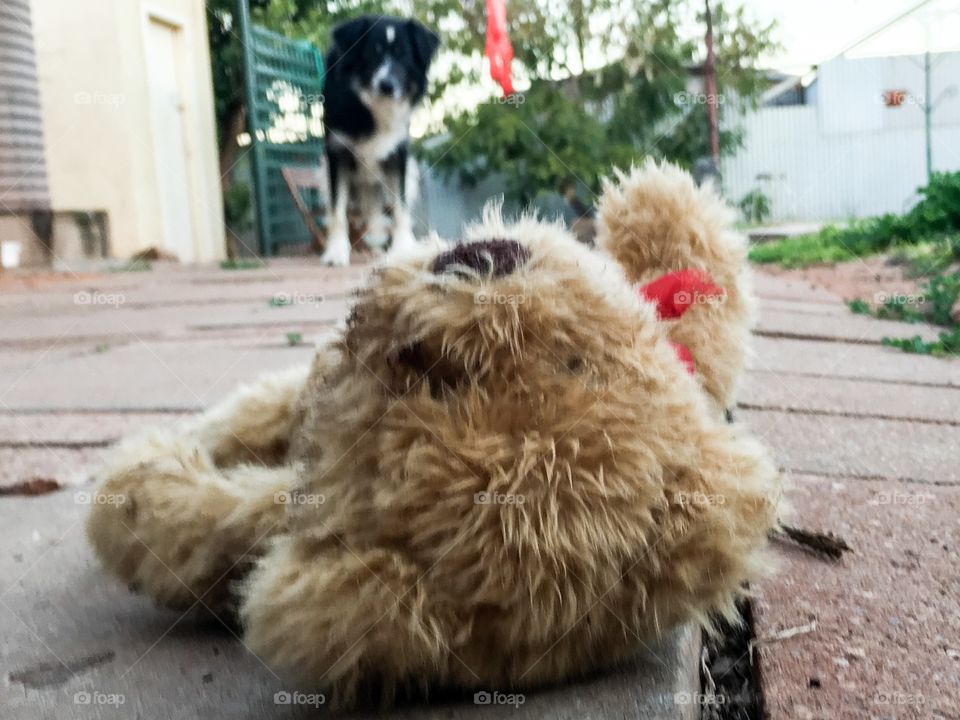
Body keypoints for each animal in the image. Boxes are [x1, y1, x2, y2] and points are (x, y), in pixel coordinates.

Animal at [322, 16, 442, 264]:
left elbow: (400, 208)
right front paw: (336, 252)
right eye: (372, 54)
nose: (386, 85)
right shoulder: (336, 154)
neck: (371, 107)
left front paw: (403, 248)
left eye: (403, 56)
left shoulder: (398, 156)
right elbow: (337, 211)